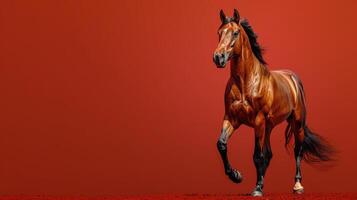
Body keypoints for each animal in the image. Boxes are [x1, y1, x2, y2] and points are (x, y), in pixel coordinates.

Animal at [211, 8, 334, 196]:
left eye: (235, 32)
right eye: (219, 33)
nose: (219, 58)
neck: (245, 83)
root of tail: (293, 78)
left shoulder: (258, 121)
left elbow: (257, 155)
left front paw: (257, 189)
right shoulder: (231, 119)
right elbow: (222, 144)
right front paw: (236, 176)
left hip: (296, 124)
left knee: (297, 150)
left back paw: (297, 186)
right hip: (268, 127)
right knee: (269, 154)